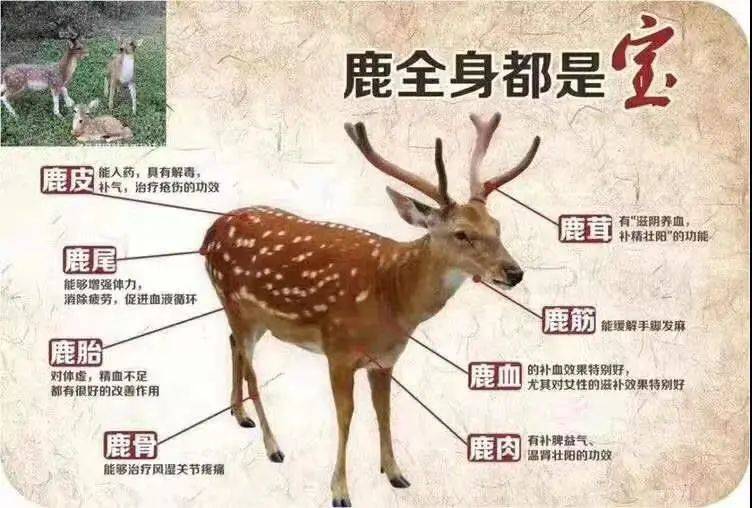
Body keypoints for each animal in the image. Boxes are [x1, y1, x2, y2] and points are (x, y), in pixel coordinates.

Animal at [200, 113, 540, 507]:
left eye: (497, 226)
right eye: (461, 234)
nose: (514, 272)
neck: (391, 292)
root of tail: (209, 233)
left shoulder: (385, 359)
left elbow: (384, 410)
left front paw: (395, 473)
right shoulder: (338, 350)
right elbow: (346, 415)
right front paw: (340, 491)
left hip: (249, 316)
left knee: (232, 343)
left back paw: (239, 414)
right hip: (234, 301)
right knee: (253, 369)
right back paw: (273, 446)